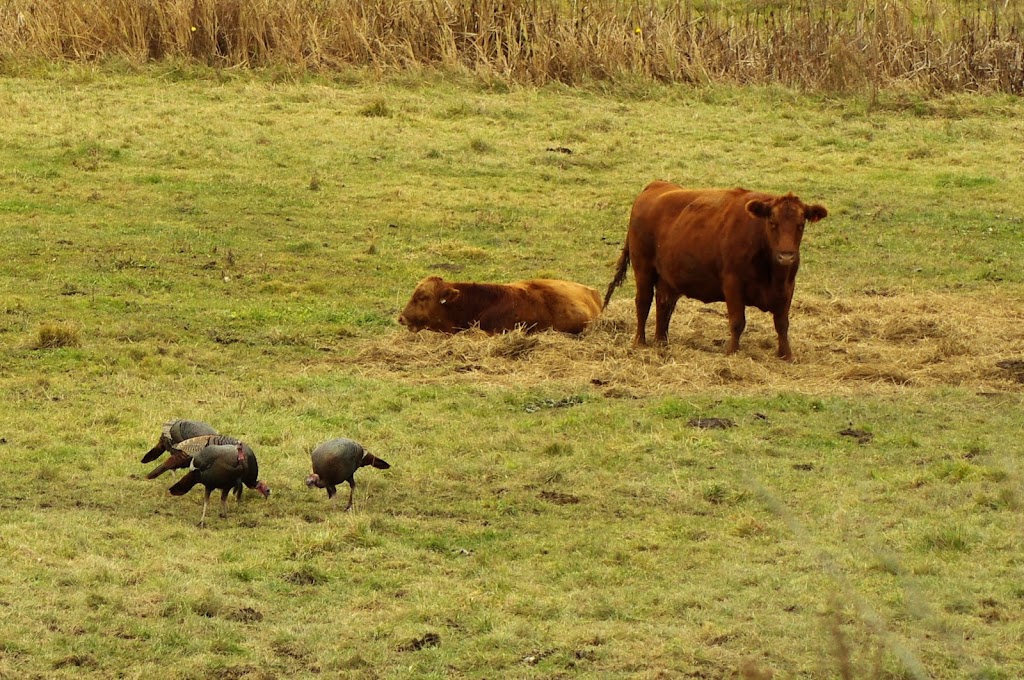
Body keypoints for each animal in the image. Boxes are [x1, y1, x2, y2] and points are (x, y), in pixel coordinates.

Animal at [602, 180, 827, 360]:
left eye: (800, 224)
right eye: (772, 223)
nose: (786, 256)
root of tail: (656, 185)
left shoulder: (787, 288)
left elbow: (782, 323)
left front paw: (786, 354)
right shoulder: (733, 284)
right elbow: (737, 321)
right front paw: (732, 352)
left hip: (668, 276)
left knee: (664, 303)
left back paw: (661, 342)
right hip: (644, 268)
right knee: (643, 302)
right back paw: (640, 342)